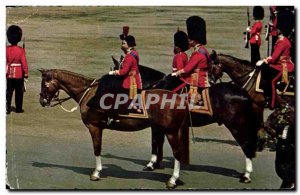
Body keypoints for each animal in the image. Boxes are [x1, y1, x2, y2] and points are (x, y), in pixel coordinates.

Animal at [38, 69, 190, 189]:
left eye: (44, 84)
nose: (42, 101)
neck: (90, 93)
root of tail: (179, 98)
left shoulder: (94, 127)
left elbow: (97, 149)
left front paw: (96, 173)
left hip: (171, 132)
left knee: (177, 153)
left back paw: (172, 180)